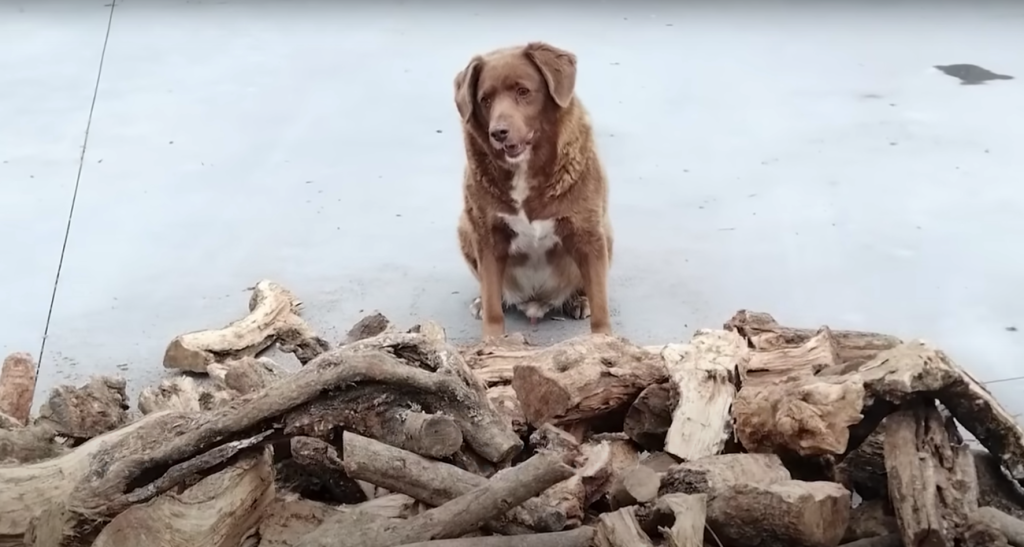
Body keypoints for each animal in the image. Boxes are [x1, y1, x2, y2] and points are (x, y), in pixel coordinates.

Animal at [452, 41, 610, 338]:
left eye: (523, 91)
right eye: (485, 100)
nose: (498, 132)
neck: (524, 170)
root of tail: (535, 302)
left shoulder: (588, 233)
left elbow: (600, 303)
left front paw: (604, 340)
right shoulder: (487, 236)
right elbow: (493, 303)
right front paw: (492, 340)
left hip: (606, 233)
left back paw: (578, 300)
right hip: (465, 228)